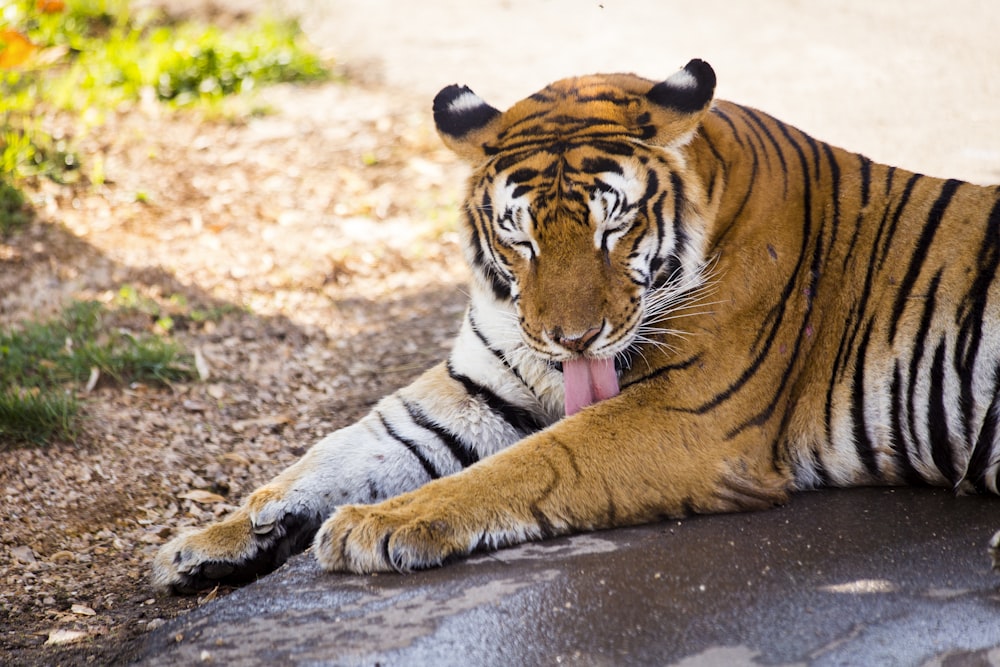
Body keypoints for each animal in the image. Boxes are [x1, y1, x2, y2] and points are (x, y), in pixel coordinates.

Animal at [152, 56, 1000, 588]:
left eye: (612, 227)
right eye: (520, 236)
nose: (572, 339)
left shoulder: (686, 416)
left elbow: (534, 462)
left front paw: (377, 523)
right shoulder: (477, 385)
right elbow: (342, 448)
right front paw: (206, 541)